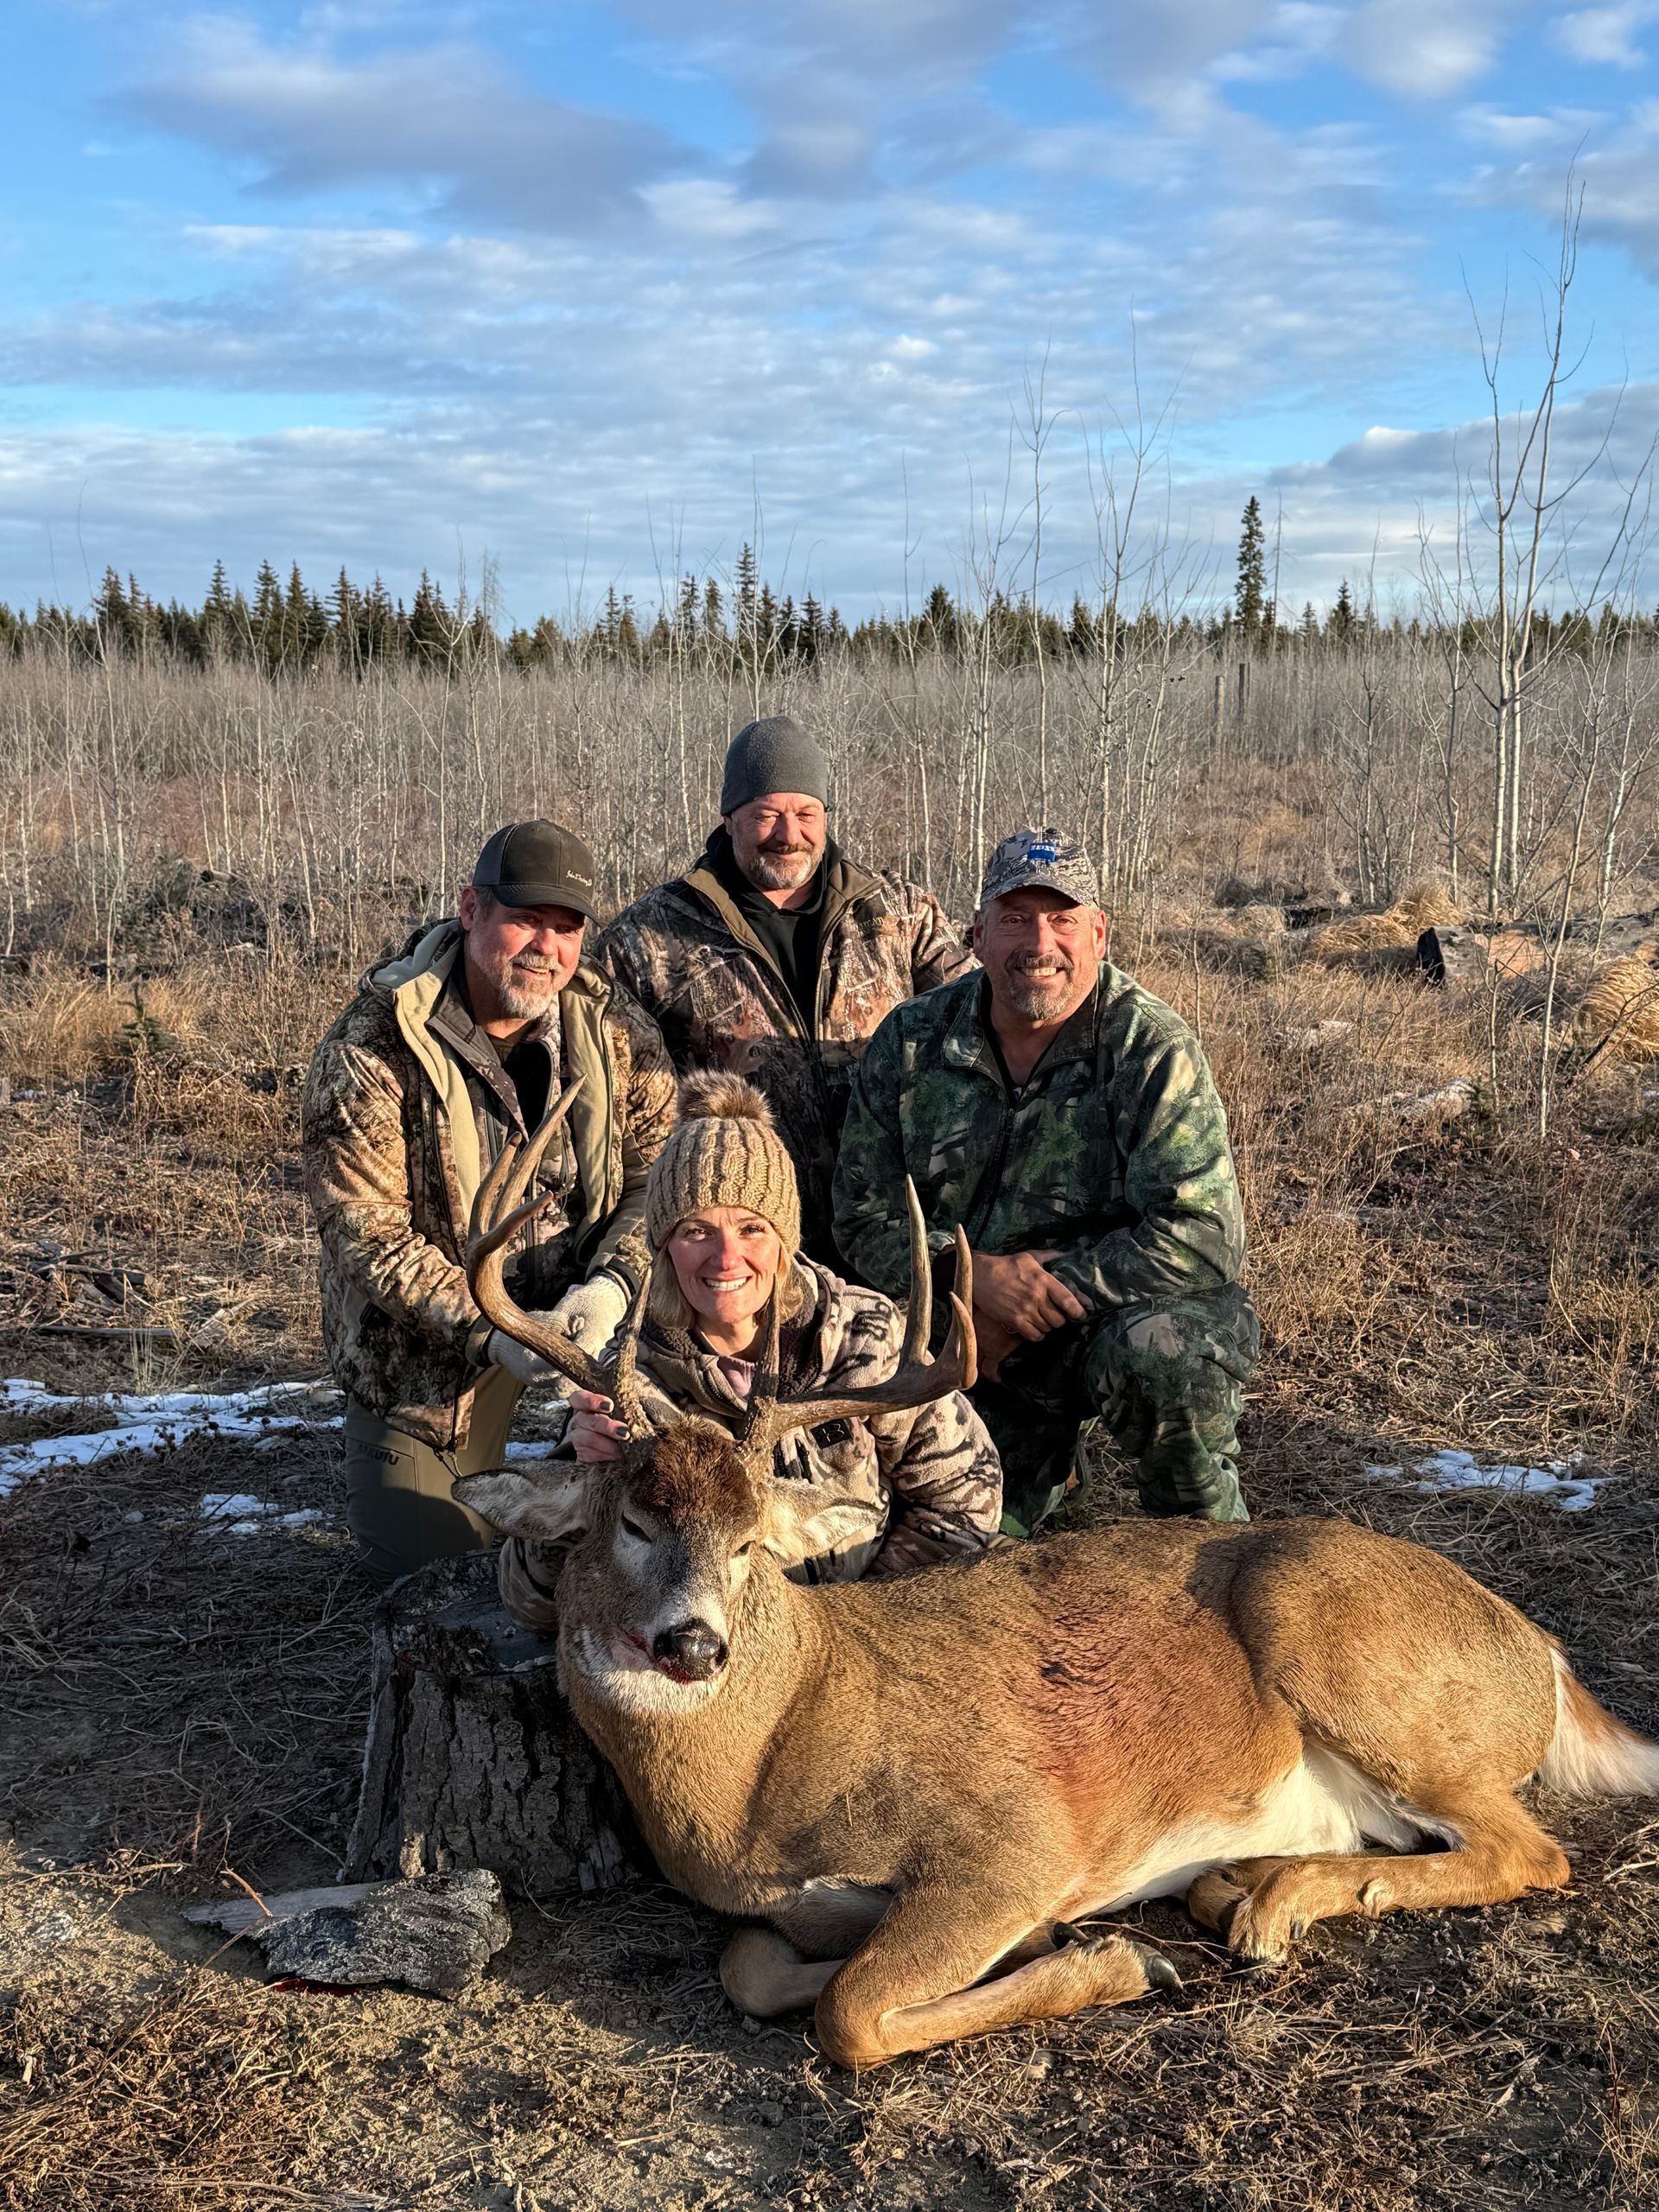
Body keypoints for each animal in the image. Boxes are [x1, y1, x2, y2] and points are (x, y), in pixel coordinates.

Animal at [454, 1099, 1659, 2071]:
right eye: (632, 1519)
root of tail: (1541, 1652)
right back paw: (1243, 1890)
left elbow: (851, 2012)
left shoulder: (1011, 1840)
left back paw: (1261, 1913)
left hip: (1334, 1638)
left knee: (1529, 1849)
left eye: (752, 1542)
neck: (757, 1772)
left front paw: (1111, 1963)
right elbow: (753, 1969)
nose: (695, 1644)